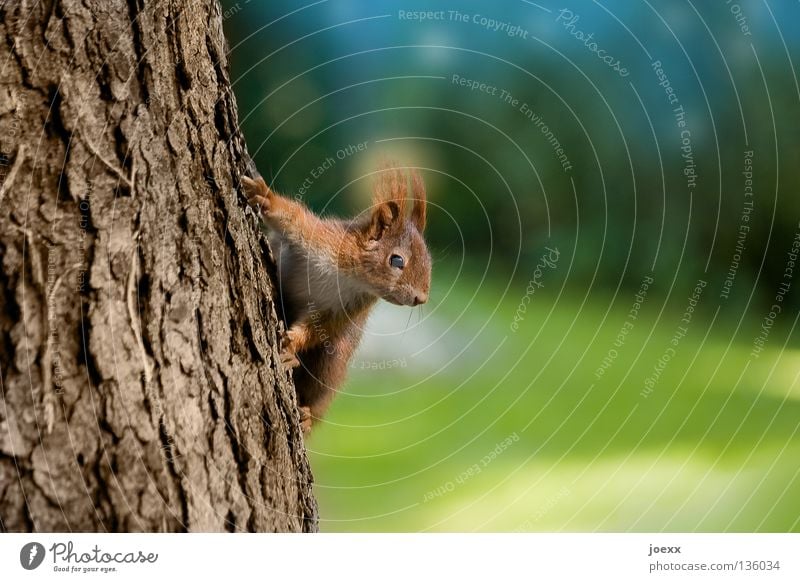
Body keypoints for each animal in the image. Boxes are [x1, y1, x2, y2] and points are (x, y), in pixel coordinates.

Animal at [241, 162, 432, 436]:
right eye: (397, 260)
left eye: (429, 260)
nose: (421, 298)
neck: (351, 277)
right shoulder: (319, 238)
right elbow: (291, 218)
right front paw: (264, 195)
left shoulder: (345, 307)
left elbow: (319, 326)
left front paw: (291, 344)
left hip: (332, 361)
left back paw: (306, 415)